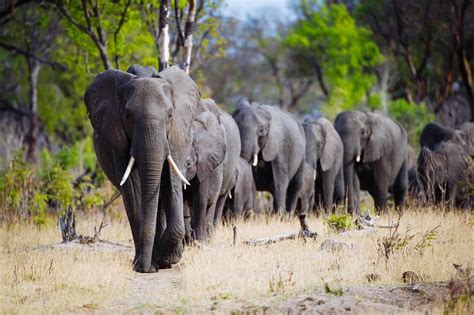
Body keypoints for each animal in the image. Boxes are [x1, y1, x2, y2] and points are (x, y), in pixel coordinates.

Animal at [83, 65, 200, 272]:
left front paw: (166, 258)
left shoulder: (177, 135)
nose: (144, 268)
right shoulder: (116, 137)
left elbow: (171, 181)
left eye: (170, 115)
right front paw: (147, 265)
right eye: (128, 117)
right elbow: (133, 187)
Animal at [182, 99, 241, 242]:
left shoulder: (206, 166)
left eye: (188, 163)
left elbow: (200, 199)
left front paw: (198, 241)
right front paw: (188, 240)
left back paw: (209, 236)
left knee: (216, 201)